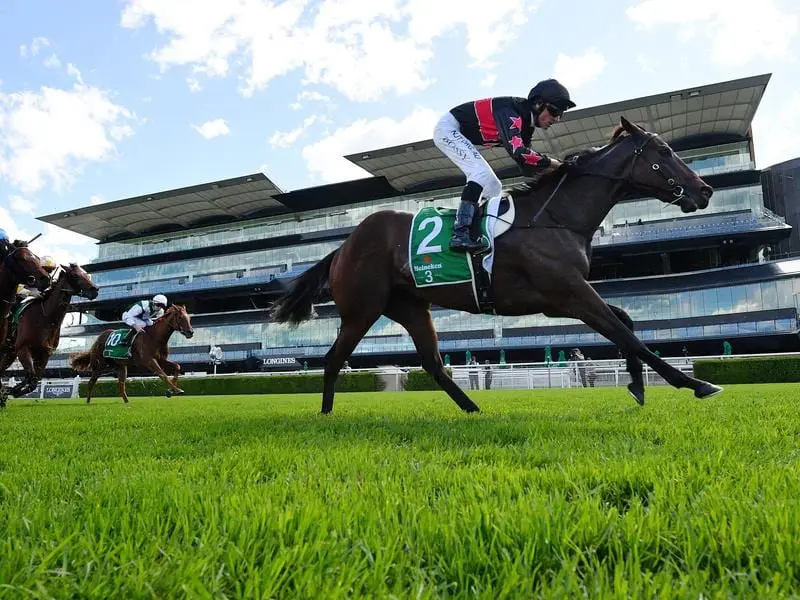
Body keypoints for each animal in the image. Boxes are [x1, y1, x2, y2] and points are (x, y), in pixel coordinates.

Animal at [0, 264, 99, 400]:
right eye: (75, 275)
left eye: (86, 274)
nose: (95, 290)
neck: (45, 317)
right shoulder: (23, 349)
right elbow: (30, 376)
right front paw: (9, 390)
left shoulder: (44, 354)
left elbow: (33, 381)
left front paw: (11, 390)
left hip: (9, 353)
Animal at [270, 117, 724, 412]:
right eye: (664, 152)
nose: (704, 189)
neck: (553, 216)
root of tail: (344, 246)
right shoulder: (570, 294)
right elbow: (629, 335)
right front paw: (695, 382)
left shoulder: (562, 298)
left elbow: (626, 323)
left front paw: (637, 385)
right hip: (362, 309)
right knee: (333, 359)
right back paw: (326, 415)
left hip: (412, 307)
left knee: (433, 364)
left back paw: (472, 409)